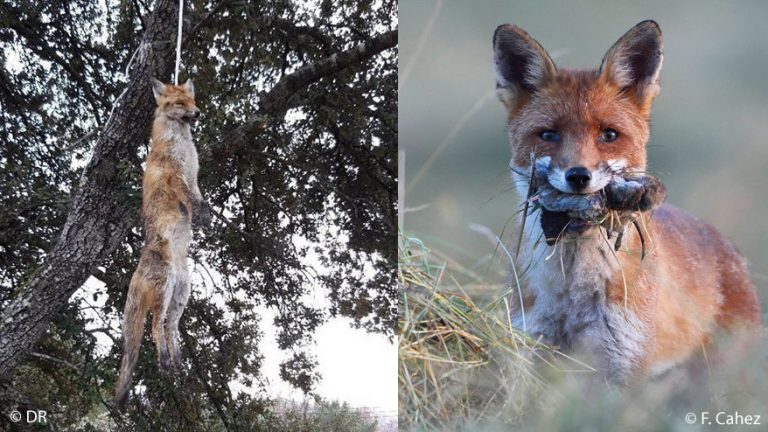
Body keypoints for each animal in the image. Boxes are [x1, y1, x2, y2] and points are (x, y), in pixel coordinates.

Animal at [114, 77, 210, 404]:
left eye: (192, 100)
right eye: (179, 104)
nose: (198, 113)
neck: (182, 143)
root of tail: (137, 272)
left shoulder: (194, 177)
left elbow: (199, 198)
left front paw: (203, 215)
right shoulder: (176, 177)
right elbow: (191, 200)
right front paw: (201, 216)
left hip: (181, 295)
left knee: (171, 328)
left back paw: (176, 361)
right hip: (165, 289)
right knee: (155, 328)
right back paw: (166, 362)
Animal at [492, 22, 760, 384]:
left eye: (609, 135)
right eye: (548, 135)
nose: (579, 176)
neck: (573, 293)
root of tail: (727, 246)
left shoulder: (622, 365)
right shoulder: (530, 349)